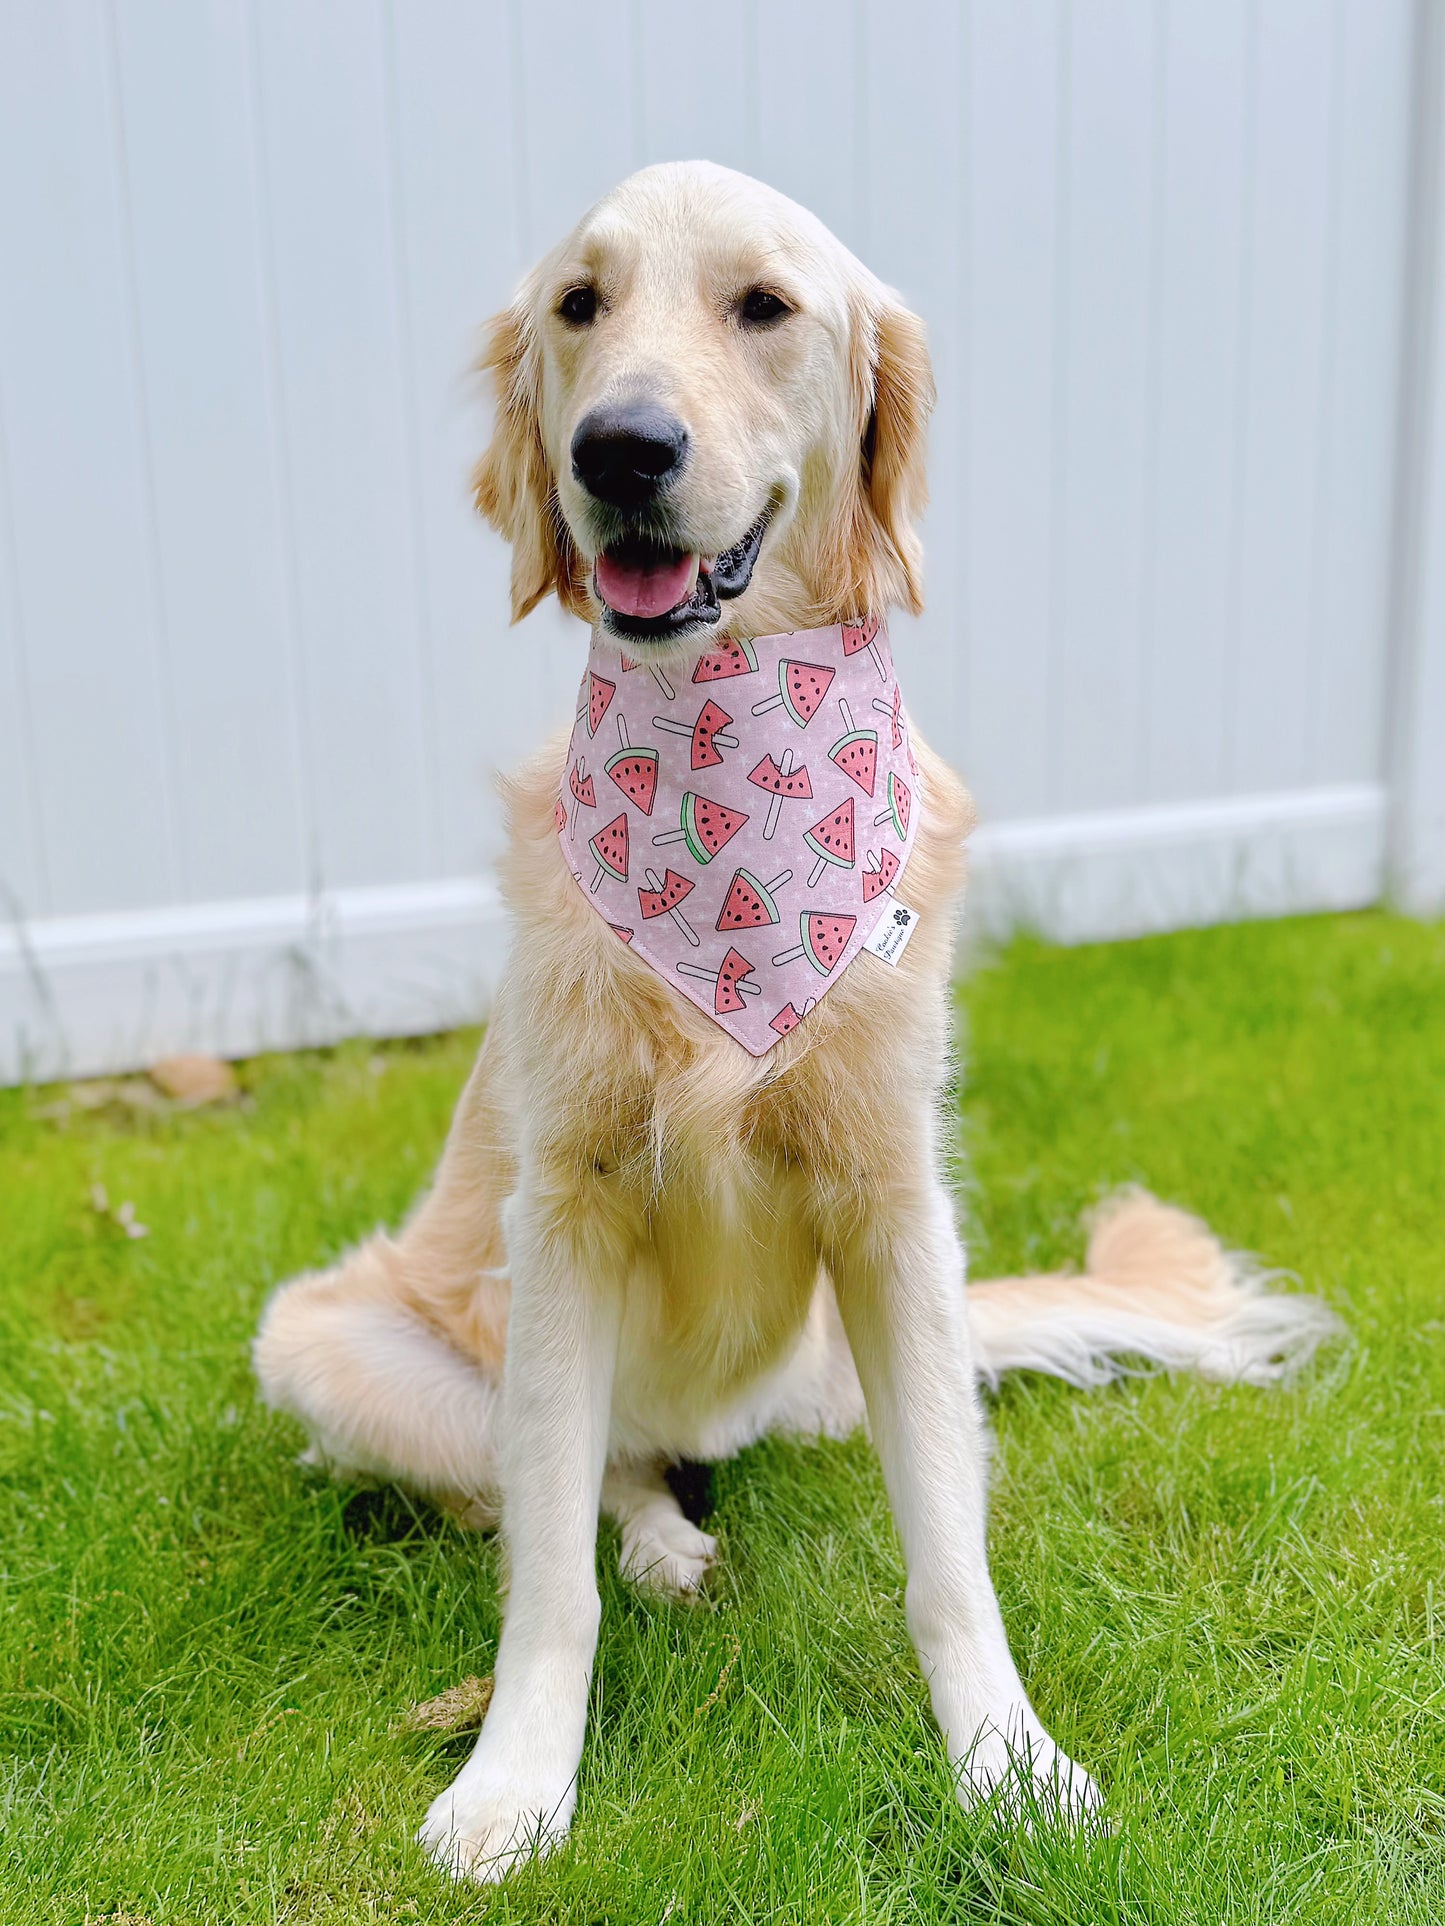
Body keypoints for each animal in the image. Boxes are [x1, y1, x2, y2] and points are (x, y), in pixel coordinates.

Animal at [252, 165, 1348, 1879]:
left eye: (762, 306)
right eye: (579, 307)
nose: (618, 448)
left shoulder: (897, 1215)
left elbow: (949, 1556)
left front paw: (1008, 1762)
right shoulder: (560, 1215)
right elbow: (545, 1568)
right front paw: (515, 1782)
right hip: (324, 1338)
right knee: (577, 1475)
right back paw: (660, 1543)